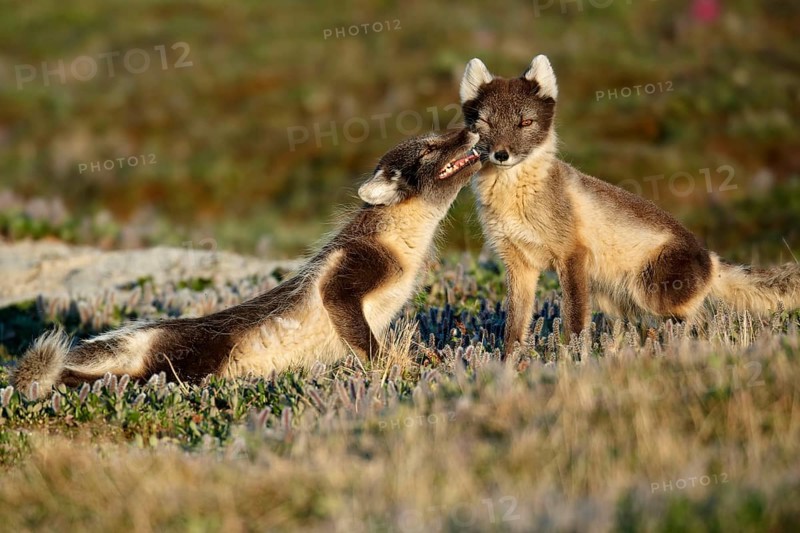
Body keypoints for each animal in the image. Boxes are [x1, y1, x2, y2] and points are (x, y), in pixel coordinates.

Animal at [12, 129, 481, 398]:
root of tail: (143, 335)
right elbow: (360, 333)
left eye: (438, 138)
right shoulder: (348, 273)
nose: (469, 127)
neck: (403, 240)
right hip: (186, 365)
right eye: (430, 149)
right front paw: (392, 369)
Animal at [459, 55, 800, 354]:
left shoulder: (571, 255)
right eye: (485, 123)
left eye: (525, 122)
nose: (502, 154)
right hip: (612, 299)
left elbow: (574, 322)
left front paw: (571, 360)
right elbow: (514, 330)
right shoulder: (519, 263)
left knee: (701, 321)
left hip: (651, 293)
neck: (516, 198)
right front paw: (508, 367)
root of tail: (710, 257)